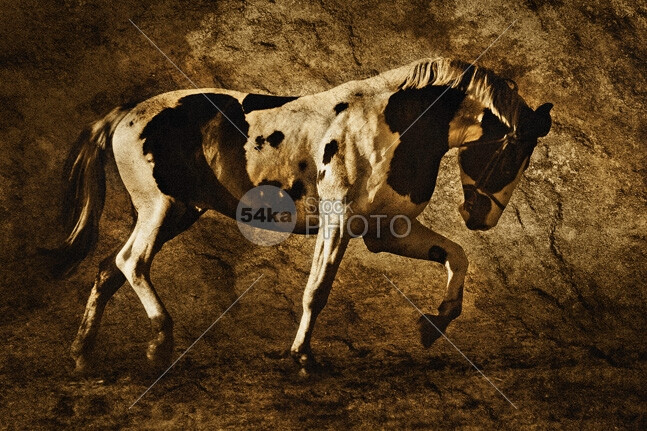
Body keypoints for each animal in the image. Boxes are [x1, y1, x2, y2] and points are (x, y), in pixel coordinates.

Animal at [54, 58, 552, 374]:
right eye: (512, 151)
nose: (480, 217)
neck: (392, 124)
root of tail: (125, 115)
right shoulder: (338, 223)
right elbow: (317, 291)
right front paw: (302, 358)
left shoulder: (388, 231)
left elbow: (457, 255)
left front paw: (436, 323)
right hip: (159, 208)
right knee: (131, 264)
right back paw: (159, 346)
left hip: (177, 212)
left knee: (108, 270)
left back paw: (82, 358)